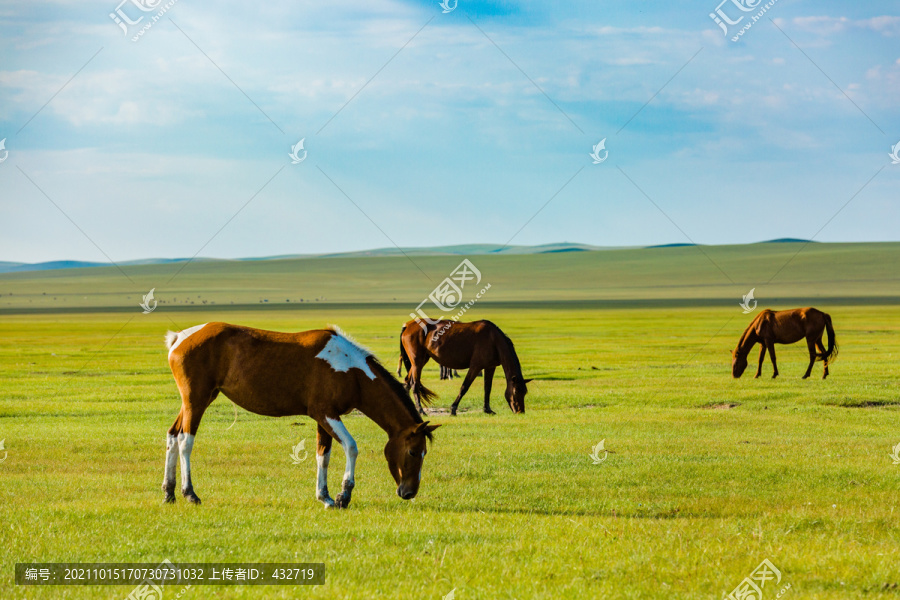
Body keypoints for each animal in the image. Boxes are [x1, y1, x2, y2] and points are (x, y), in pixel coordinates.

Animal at [167, 324, 442, 510]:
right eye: (413, 452)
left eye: (424, 453)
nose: (409, 492)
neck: (351, 370)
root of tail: (179, 337)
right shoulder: (326, 414)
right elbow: (351, 447)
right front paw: (343, 495)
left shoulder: (324, 419)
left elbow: (324, 455)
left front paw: (325, 496)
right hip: (196, 402)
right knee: (185, 442)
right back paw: (189, 493)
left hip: (193, 402)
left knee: (172, 437)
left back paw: (169, 492)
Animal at [398, 322, 532, 414]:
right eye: (516, 391)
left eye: (524, 392)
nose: (520, 411)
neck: (494, 340)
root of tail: (408, 325)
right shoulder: (475, 366)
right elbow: (464, 387)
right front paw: (453, 409)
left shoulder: (490, 367)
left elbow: (487, 388)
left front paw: (487, 409)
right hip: (417, 362)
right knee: (414, 384)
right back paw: (421, 410)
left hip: (421, 361)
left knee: (407, 381)